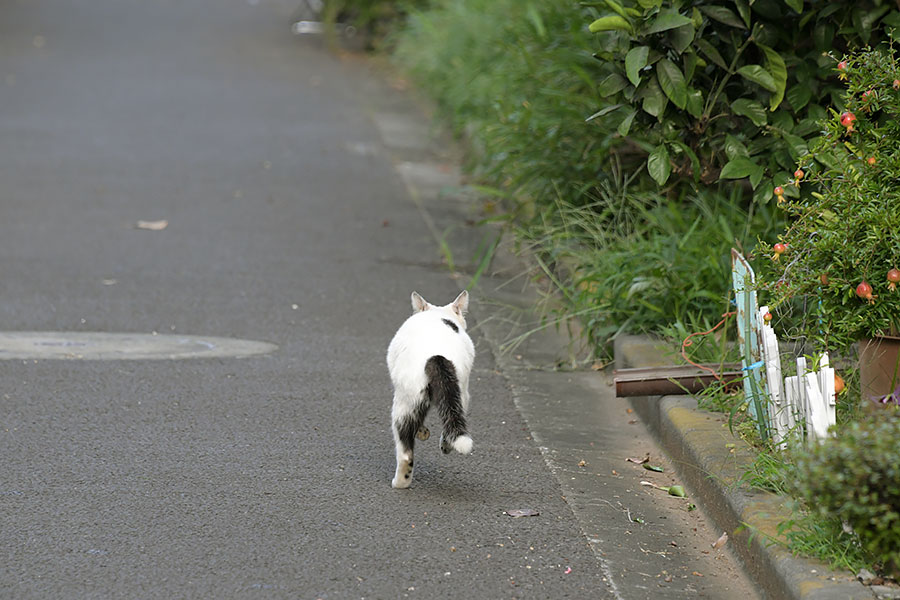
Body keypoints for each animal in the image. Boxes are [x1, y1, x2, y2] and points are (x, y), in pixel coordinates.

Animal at [384, 290, 474, 488]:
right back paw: (446, 446)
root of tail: (437, 356)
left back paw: (400, 483)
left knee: (405, 452)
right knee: (452, 421)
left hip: (403, 403)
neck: (436, 314)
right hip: (460, 393)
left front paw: (422, 432)